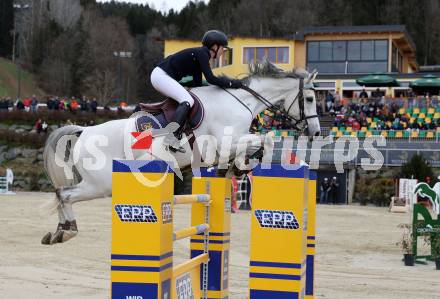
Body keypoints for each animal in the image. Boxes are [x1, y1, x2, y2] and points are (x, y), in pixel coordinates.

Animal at [42, 62, 320, 245]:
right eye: (309, 98)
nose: (316, 131)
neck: (239, 102)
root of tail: (84, 131)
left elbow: (257, 144)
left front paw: (238, 167)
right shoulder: (224, 143)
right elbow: (266, 140)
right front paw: (240, 165)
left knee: (61, 194)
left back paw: (59, 232)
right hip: (100, 184)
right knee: (64, 194)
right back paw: (66, 231)